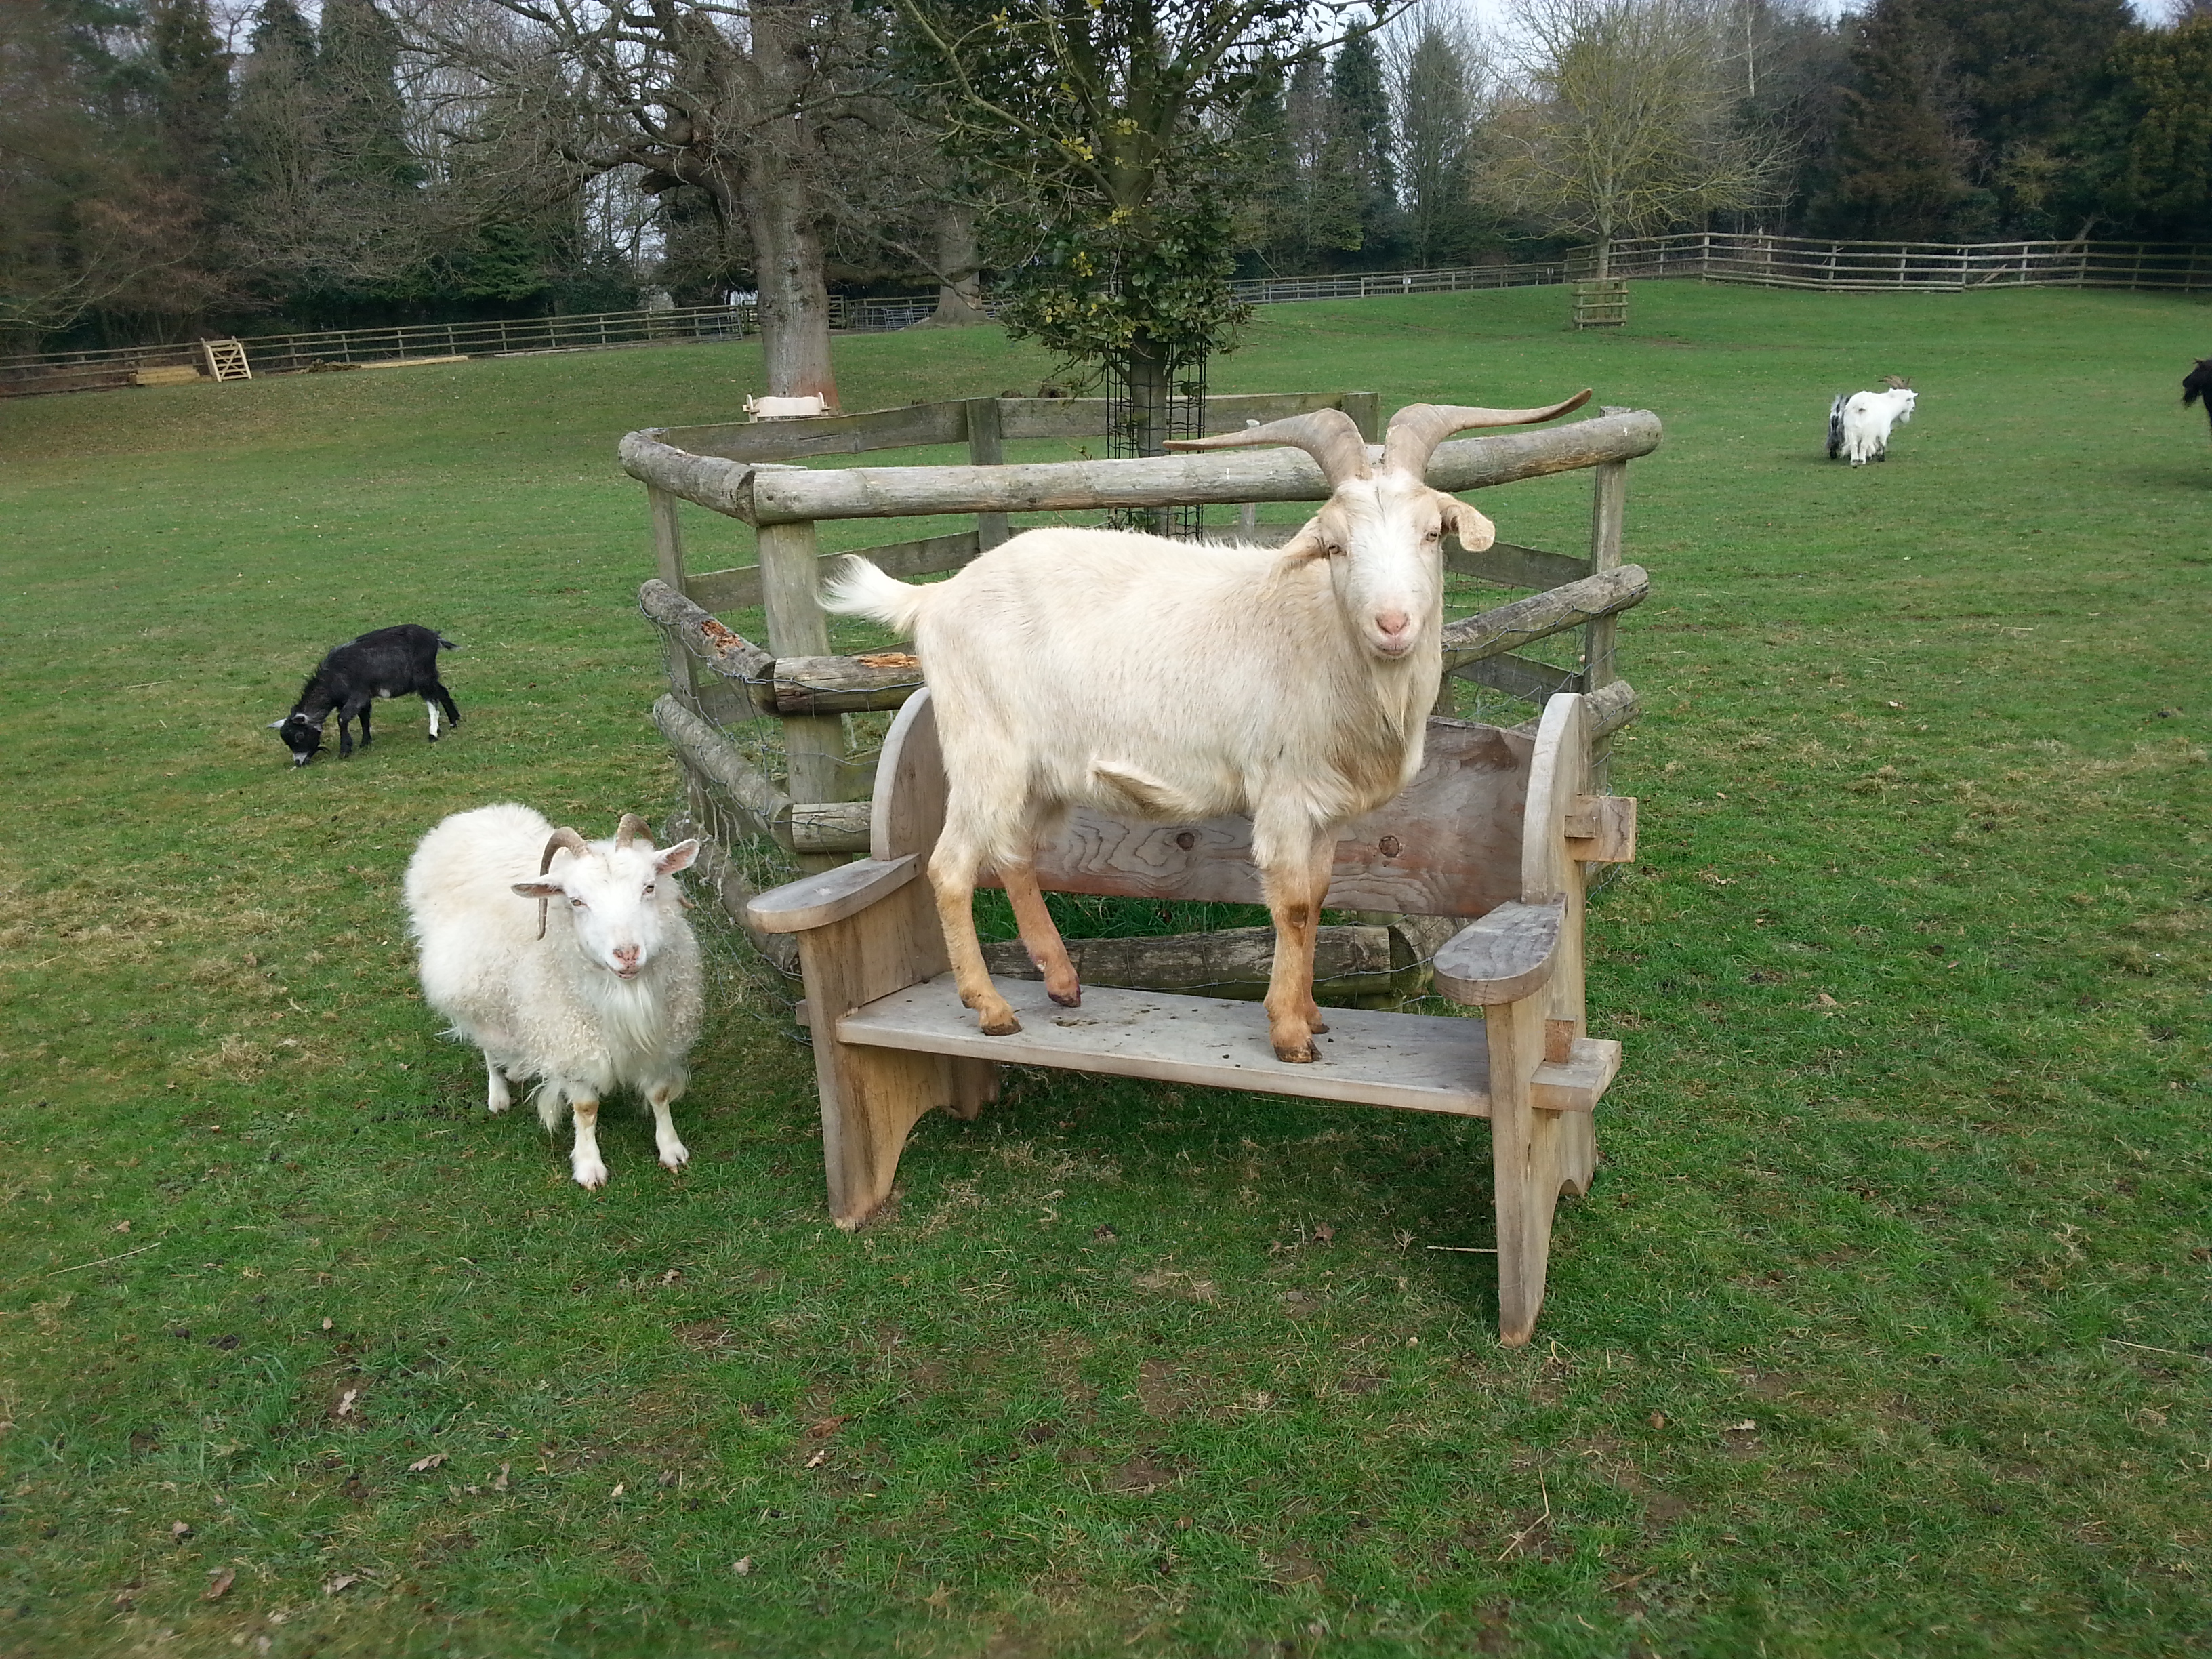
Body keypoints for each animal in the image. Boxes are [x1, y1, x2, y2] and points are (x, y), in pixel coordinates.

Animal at [273, 628, 462, 769]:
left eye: (299, 735)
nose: (299, 762)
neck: (333, 678)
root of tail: (434, 636)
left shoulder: (358, 695)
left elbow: (342, 719)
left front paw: (345, 751)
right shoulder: (362, 699)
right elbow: (364, 718)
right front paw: (365, 743)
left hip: (422, 677)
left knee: (432, 701)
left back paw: (433, 733)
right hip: (428, 676)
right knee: (442, 692)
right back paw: (454, 721)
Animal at [405, 809, 699, 1185]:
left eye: (649, 887)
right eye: (576, 901)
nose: (627, 954)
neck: (626, 995)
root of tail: (471, 815)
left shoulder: (662, 1039)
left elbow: (659, 1095)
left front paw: (671, 1149)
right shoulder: (571, 1040)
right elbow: (585, 1108)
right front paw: (589, 1166)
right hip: (474, 992)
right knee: (487, 1046)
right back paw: (498, 1092)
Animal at [832, 391, 1593, 1066]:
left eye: (1433, 533)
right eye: (1335, 546)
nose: (1393, 624)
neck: (1324, 641)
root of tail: (935, 597)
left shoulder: (1330, 809)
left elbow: (1320, 897)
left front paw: (1313, 1011)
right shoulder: (1283, 793)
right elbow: (1291, 906)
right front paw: (1290, 1032)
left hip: (1042, 774)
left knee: (1015, 854)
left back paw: (1063, 981)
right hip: (984, 749)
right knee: (952, 866)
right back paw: (989, 1007)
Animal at [1831, 382, 1920, 468]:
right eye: (1910, 399)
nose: (1913, 406)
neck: (1889, 404)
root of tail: (1859, 406)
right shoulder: (1883, 430)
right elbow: (1882, 443)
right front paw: (1881, 458)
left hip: (1851, 429)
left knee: (1854, 444)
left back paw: (1854, 461)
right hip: (1866, 430)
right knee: (1863, 444)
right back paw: (1862, 460)